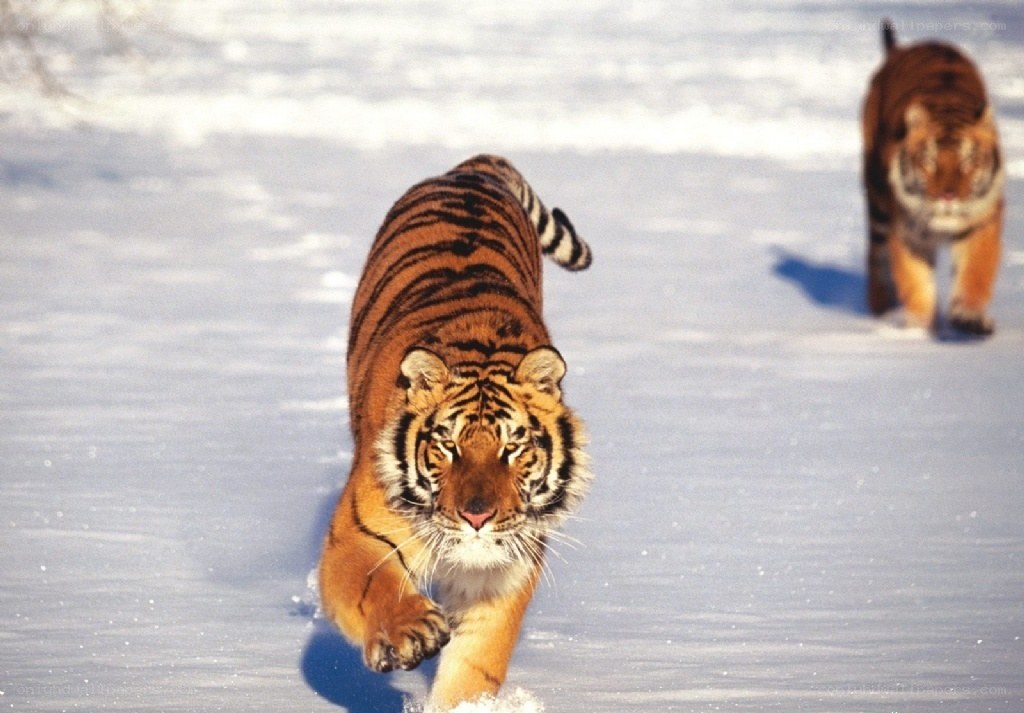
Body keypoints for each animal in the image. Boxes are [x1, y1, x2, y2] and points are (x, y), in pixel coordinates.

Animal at [318, 154, 592, 710]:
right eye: (447, 445)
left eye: (514, 447)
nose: (477, 517)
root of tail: (473, 166)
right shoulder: (353, 537)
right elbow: (372, 584)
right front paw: (408, 632)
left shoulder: (504, 570)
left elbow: (475, 665)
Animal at [861, 19, 1004, 335]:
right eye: (929, 161)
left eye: (968, 160)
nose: (947, 196)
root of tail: (900, 50)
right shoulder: (907, 233)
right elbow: (917, 285)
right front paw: (918, 332)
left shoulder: (982, 222)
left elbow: (975, 271)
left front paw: (969, 317)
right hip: (877, 200)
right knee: (875, 254)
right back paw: (880, 308)